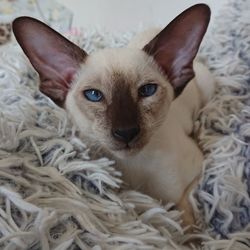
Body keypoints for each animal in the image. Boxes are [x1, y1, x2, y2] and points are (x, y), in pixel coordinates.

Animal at [12, 2, 215, 226]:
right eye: (94, 95)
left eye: (147, 90)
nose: (126, 132)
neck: (134, 169)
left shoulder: (194, 175)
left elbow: (187, 222)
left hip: (207, 88)